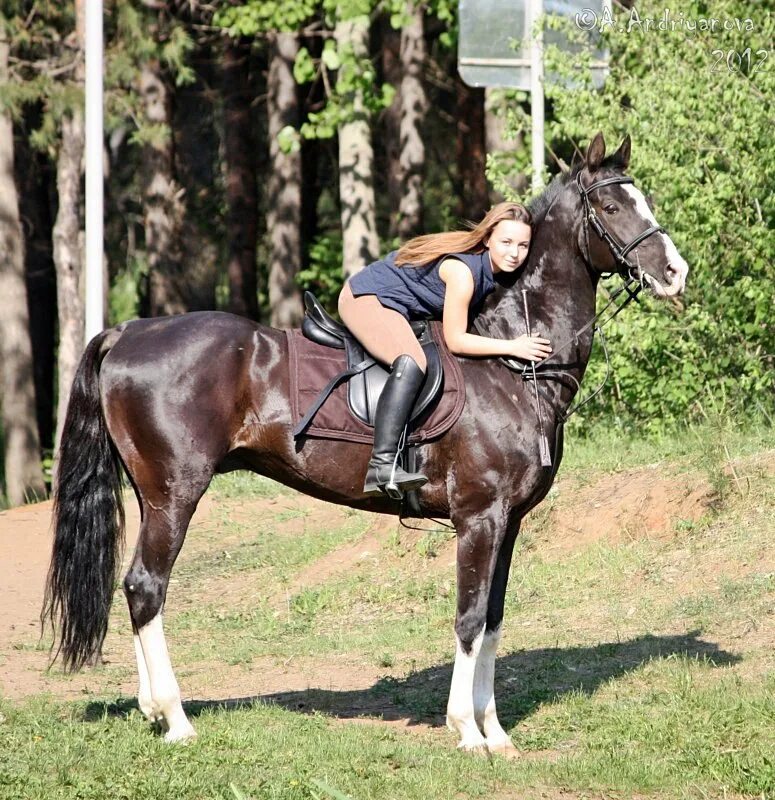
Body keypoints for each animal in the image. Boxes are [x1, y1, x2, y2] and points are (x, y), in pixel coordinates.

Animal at [42, 131, 688, 752]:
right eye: (611, 206)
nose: (676, 273)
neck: (510, 363)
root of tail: (127, 331)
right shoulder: (479, 516)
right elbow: (469, 619)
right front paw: (467, 731)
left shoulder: (509, 521)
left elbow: (494, 619)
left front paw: (497, 732)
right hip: (175, 494)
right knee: (147, 587)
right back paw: (175, 720)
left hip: (151, 495)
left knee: (137, 589)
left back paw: (152, 710)